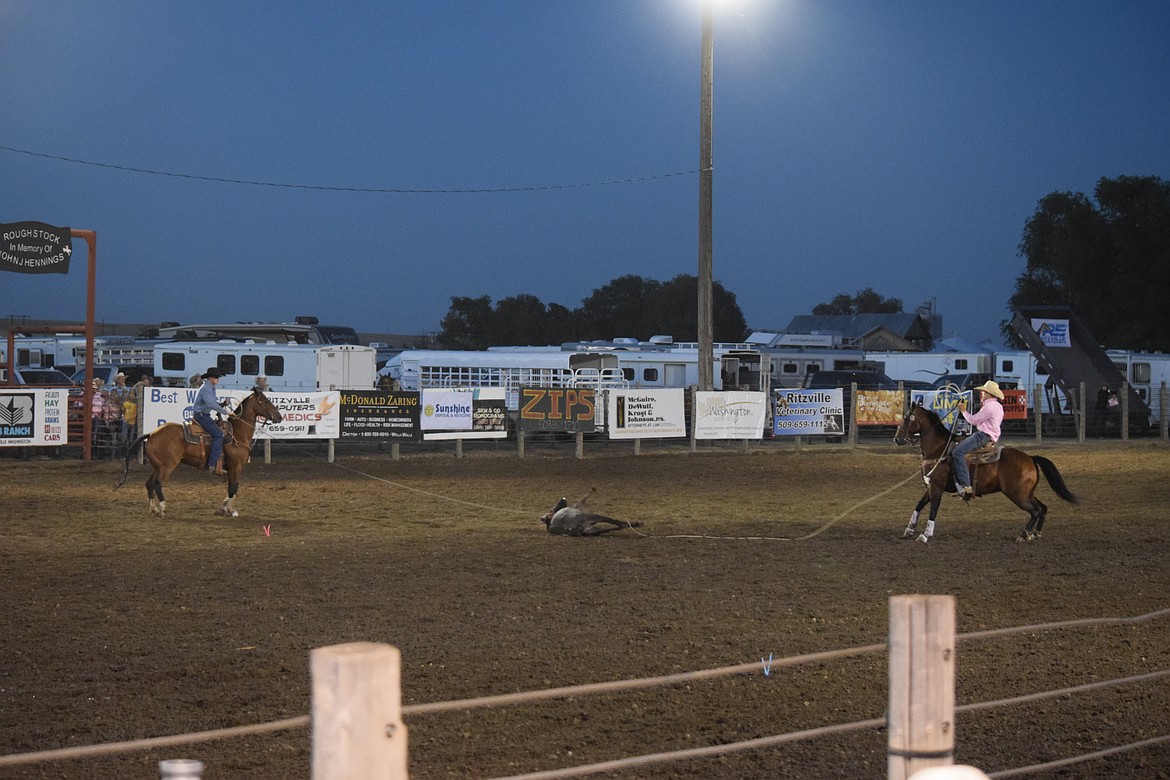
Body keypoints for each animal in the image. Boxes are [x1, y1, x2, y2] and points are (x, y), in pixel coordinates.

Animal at [114, 390, 283, 519]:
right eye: (265, 401)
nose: (279, 417)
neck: (237, 433)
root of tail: (151, 433)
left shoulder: (233, 468)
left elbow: (233, 488)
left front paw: (226, 508)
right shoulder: (236, 466)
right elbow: (233, 488)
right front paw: (229, 510)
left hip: (157, 466)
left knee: (149, 484)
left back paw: (153, 509)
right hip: (167, 466)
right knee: (156, 484)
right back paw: (162, 508)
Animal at [893, 402, 1076, 542]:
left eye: (906, 418)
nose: (896, 439)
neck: (938, 449)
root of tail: (1030, 458)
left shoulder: (937, 486)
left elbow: (933, 509)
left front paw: (925, 534)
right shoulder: (930, 486)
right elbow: (919, 505)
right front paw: (909, 530)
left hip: (1017, 494)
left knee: (1035, 511)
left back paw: (1023, 536)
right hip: (1027, 493)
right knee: (1042, 508)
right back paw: (1035, 534)